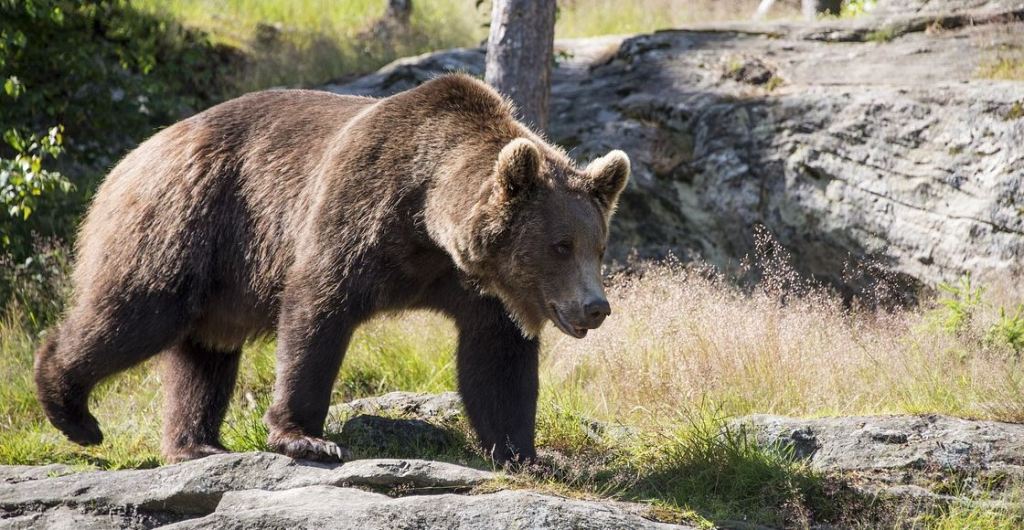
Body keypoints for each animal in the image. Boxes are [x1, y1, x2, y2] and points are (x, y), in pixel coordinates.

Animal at [34, 73, 630, 466]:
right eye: (561, 245)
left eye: (598, 246)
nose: (595, 308)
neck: (428, 222)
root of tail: (135, 154)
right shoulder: (358, 211)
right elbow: (318, 310)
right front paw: (306, 436)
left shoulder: (476, 286)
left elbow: (497, 360)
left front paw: (525, 453)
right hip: (185, 222)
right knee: (138, 312)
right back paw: (72, 410)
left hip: (219, 277)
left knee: (204, 353)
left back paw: (196, 443)